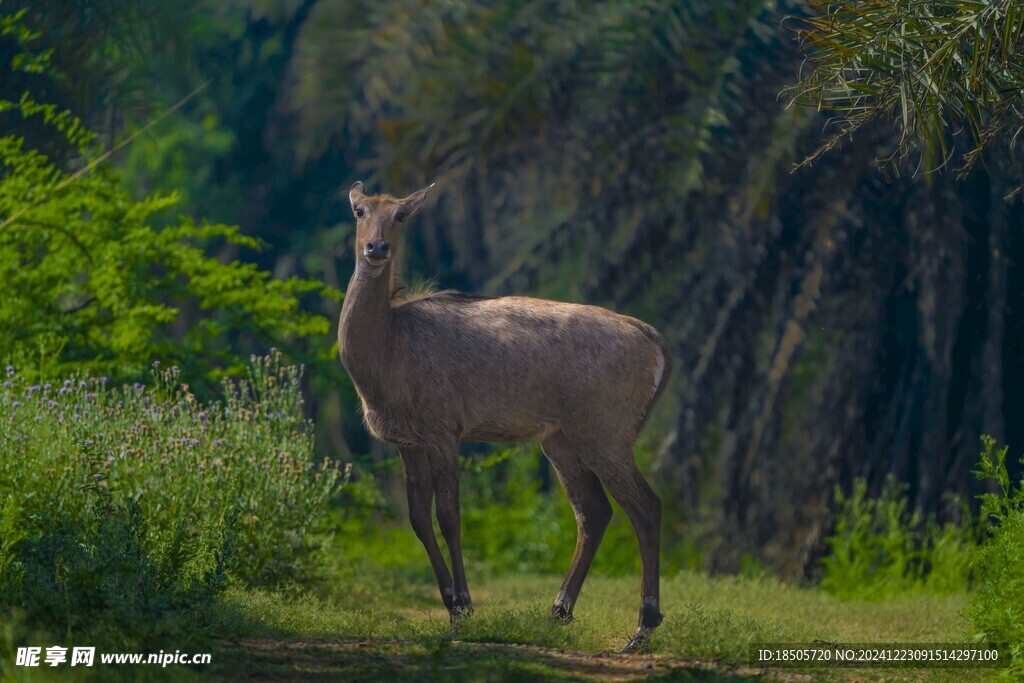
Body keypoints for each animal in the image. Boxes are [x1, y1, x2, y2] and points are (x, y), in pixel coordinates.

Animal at [337, 180, 671, 651]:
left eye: (401, 215)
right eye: (359, 210)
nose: (377, 247)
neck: (387, 352)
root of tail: (655, 341)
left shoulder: (443, 431)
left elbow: (449, 515)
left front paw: (463, 609)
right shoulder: (408, 443)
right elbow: (418, 519)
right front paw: (451, 602)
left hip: (605, 432)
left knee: (645, 506)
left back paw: (641, 629)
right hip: (560, 439)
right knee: (594, 511)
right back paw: (559, 611)